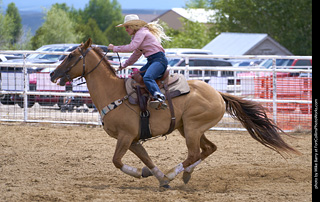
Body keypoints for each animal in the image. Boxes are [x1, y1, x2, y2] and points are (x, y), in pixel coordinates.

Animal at [50, 38, 300, 189]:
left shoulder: (125, 137)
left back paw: (175, 173)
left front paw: (151, 175)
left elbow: (117, 161)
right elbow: (147, 160)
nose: (52, 74)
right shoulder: (134, 140)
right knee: (208, 149)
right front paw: (157, 177)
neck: (114, 93)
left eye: (71, 55)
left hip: (192, 128)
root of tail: (218, 93)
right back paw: (185, 175)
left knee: (194, 153)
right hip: (188, 128)